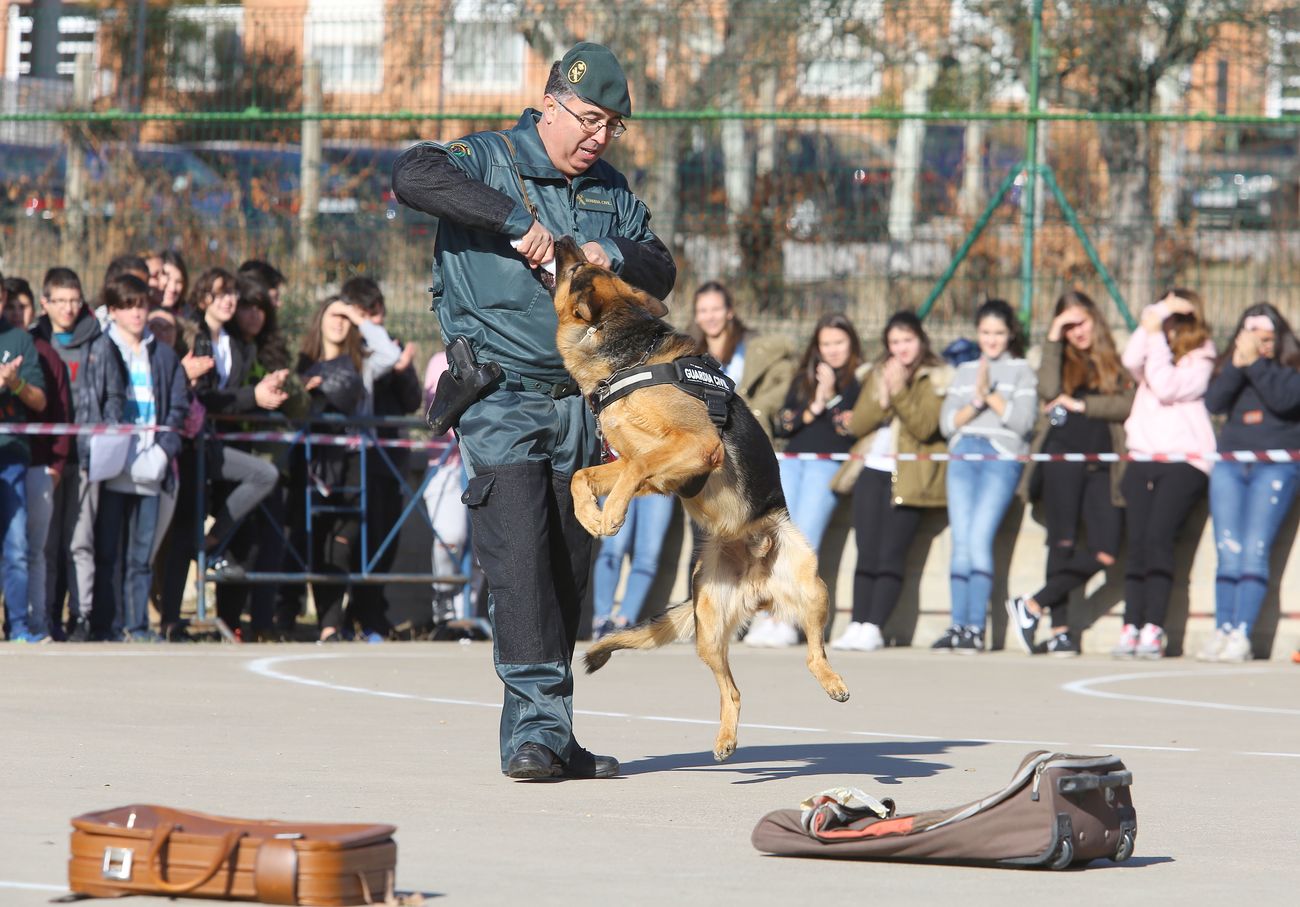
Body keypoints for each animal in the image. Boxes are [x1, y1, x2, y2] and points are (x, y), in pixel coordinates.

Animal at [548, 236, 852, 758]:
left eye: (573, 268)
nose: (565, 239)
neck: (631, 357)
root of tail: (758, 582)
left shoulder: (697, 447)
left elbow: (634, 468)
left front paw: (609, 517)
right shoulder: (657, 471)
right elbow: (585, 475)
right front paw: (591, 515)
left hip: (811, 586)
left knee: (814, 652)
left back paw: (832, 682)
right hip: (709, 630)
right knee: (733, 690)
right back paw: (727, 739)